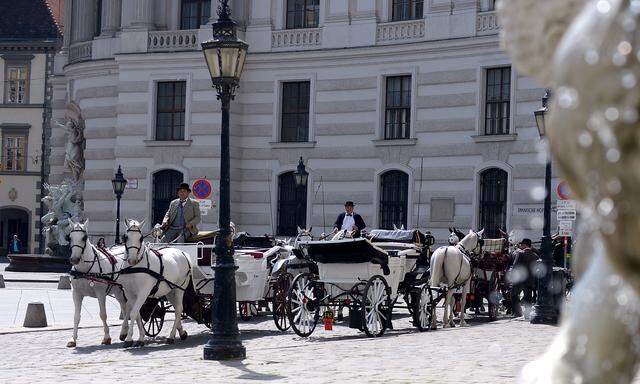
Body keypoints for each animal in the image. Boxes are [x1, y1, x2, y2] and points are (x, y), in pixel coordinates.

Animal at [66, 219, 129, 348]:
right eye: (70, 237)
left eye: (84, 237)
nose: (74, 259)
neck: (85, 270)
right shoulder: (76, 294)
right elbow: (76, 317)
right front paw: (73, 339)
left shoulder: (101, 294)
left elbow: (103, 314)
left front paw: (107, 337)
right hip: (118, 291)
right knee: (125, 307)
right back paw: (124, 331)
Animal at [119, 219, 191, 348]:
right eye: (125, 237)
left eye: (141, 238)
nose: (132, 259)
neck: (135, 267)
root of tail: (183, 253)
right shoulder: (129, 293)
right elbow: (135, 313)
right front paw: (140, 337)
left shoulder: (143, 292)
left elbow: (133, 313)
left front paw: (129, 338)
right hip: (170, 291)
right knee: (177, 310)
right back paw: (181, 332)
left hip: (179, 289)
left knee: (179, 309)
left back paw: (171, 336)